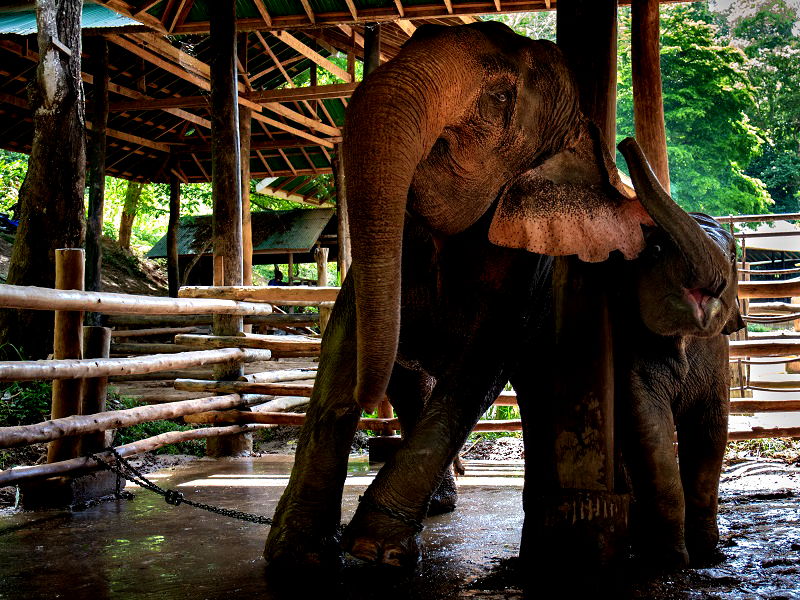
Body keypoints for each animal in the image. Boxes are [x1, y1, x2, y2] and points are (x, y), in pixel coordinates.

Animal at [266, 21, 652, 568]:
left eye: (500, 98)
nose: (366, 402)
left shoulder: (525, 267)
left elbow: (479, 368)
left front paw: (374, 549)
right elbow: (345, 334)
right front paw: (297, 552)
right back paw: (439, 503)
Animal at [612, 138, 744, 568]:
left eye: (733, 255)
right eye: (653, 251)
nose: (624, 143)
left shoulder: (718, 355)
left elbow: (711, 430)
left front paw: (707, 552)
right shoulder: (629, 345)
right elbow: (647, 426)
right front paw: (670, 560)